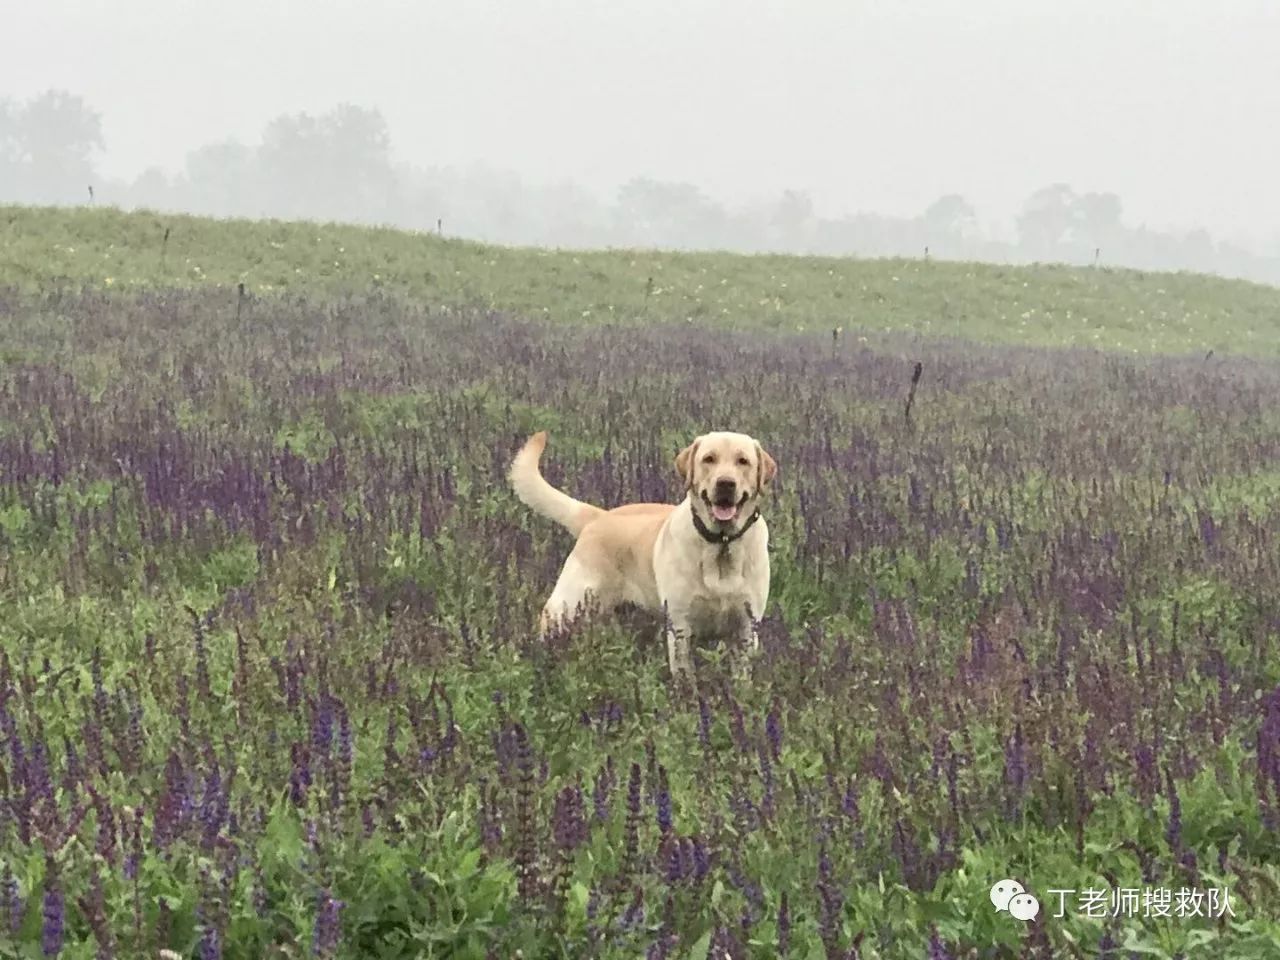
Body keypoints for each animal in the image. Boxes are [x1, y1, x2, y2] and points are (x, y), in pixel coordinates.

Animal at [506, 427, 768, 686]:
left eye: (743, 461)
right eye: (709, 459)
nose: (726, 483)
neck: (722, 545)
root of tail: (598, 516)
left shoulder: (747, 629)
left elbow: (741, 679)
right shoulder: (680, 626)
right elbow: (685, 678)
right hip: (566, 608)